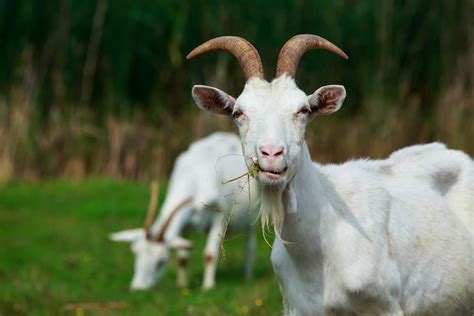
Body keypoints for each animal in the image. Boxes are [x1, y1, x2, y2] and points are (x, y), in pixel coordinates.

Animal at [109, 132, 258, 290]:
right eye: (136, 253)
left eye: (162, 261)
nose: (138, 288)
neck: (195, 175)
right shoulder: (185, 224)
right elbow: (182, 258)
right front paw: (182, 286)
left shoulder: (220, 218)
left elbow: (210, 254)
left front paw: (208, 286)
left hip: (251, 218)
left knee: (249, 246)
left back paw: (248, 277)